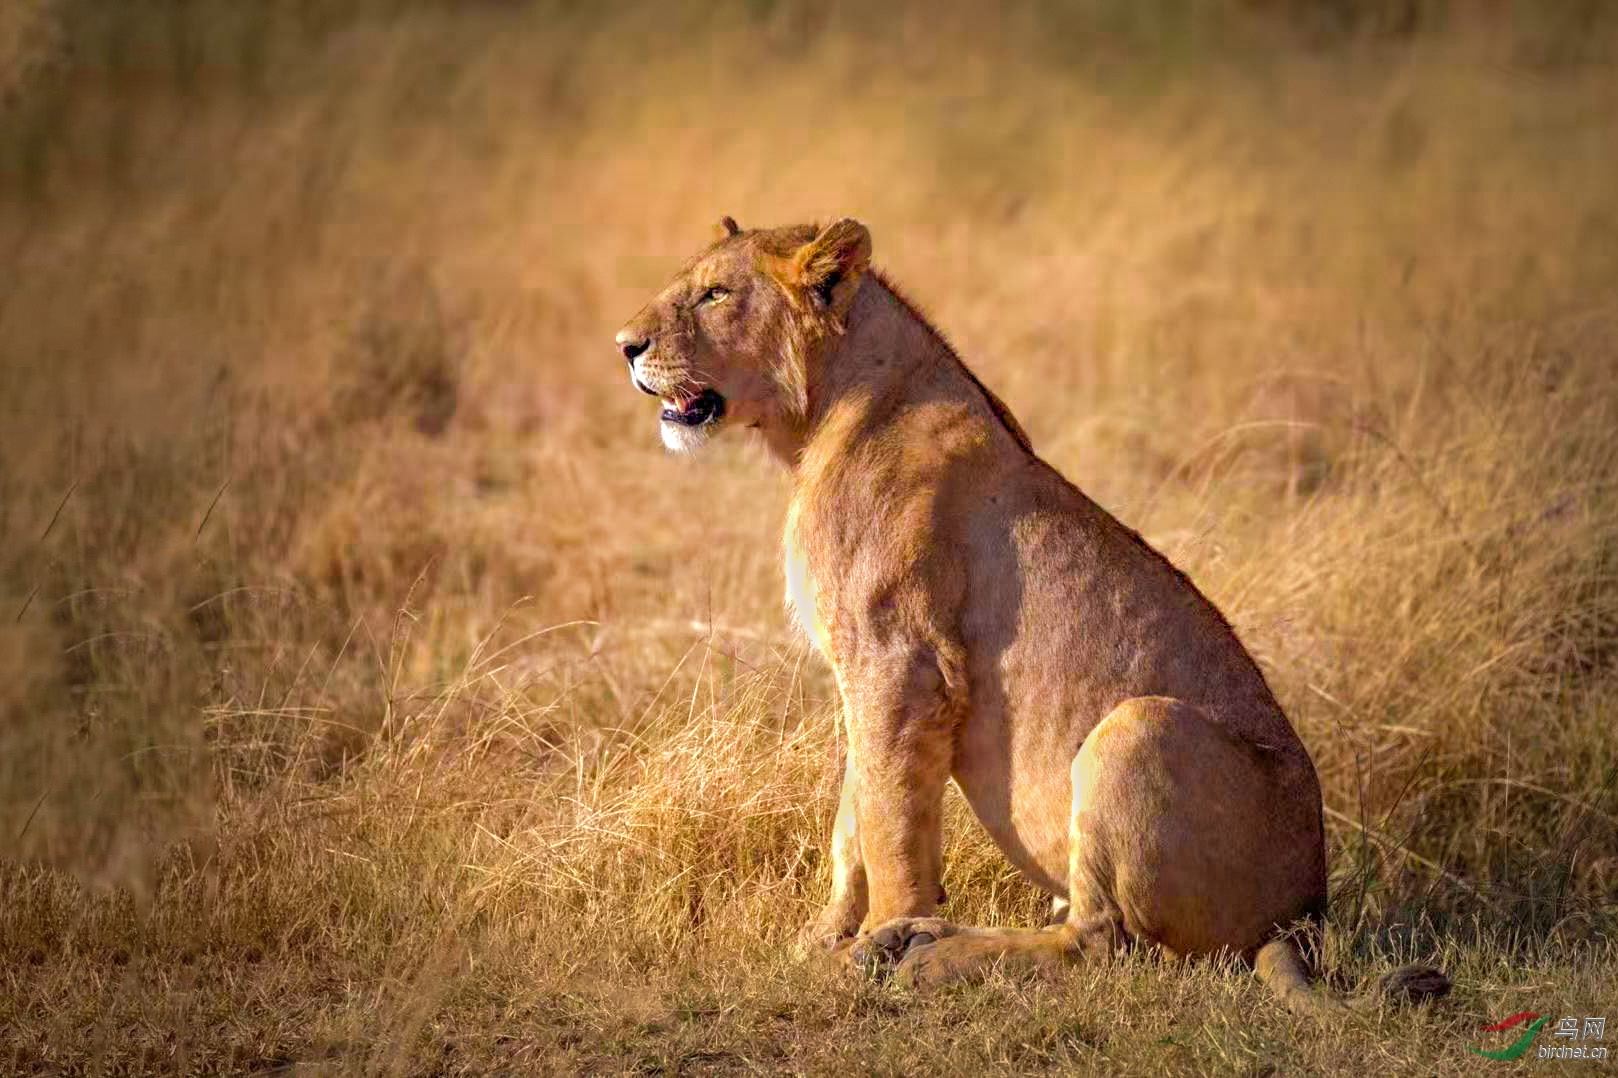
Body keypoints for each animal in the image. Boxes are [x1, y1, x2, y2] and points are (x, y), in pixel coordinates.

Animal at [611, 216, 1449, 1010]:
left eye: (715, 294)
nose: (625, 346)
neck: (822, 418)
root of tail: (1304, 919)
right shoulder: (861, 668)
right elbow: (855, 812)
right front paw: (823, 940)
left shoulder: (900, 658)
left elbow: (889, 817)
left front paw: (875, 940)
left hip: (1138, 726)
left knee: (1103, 944)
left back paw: (930, 954)